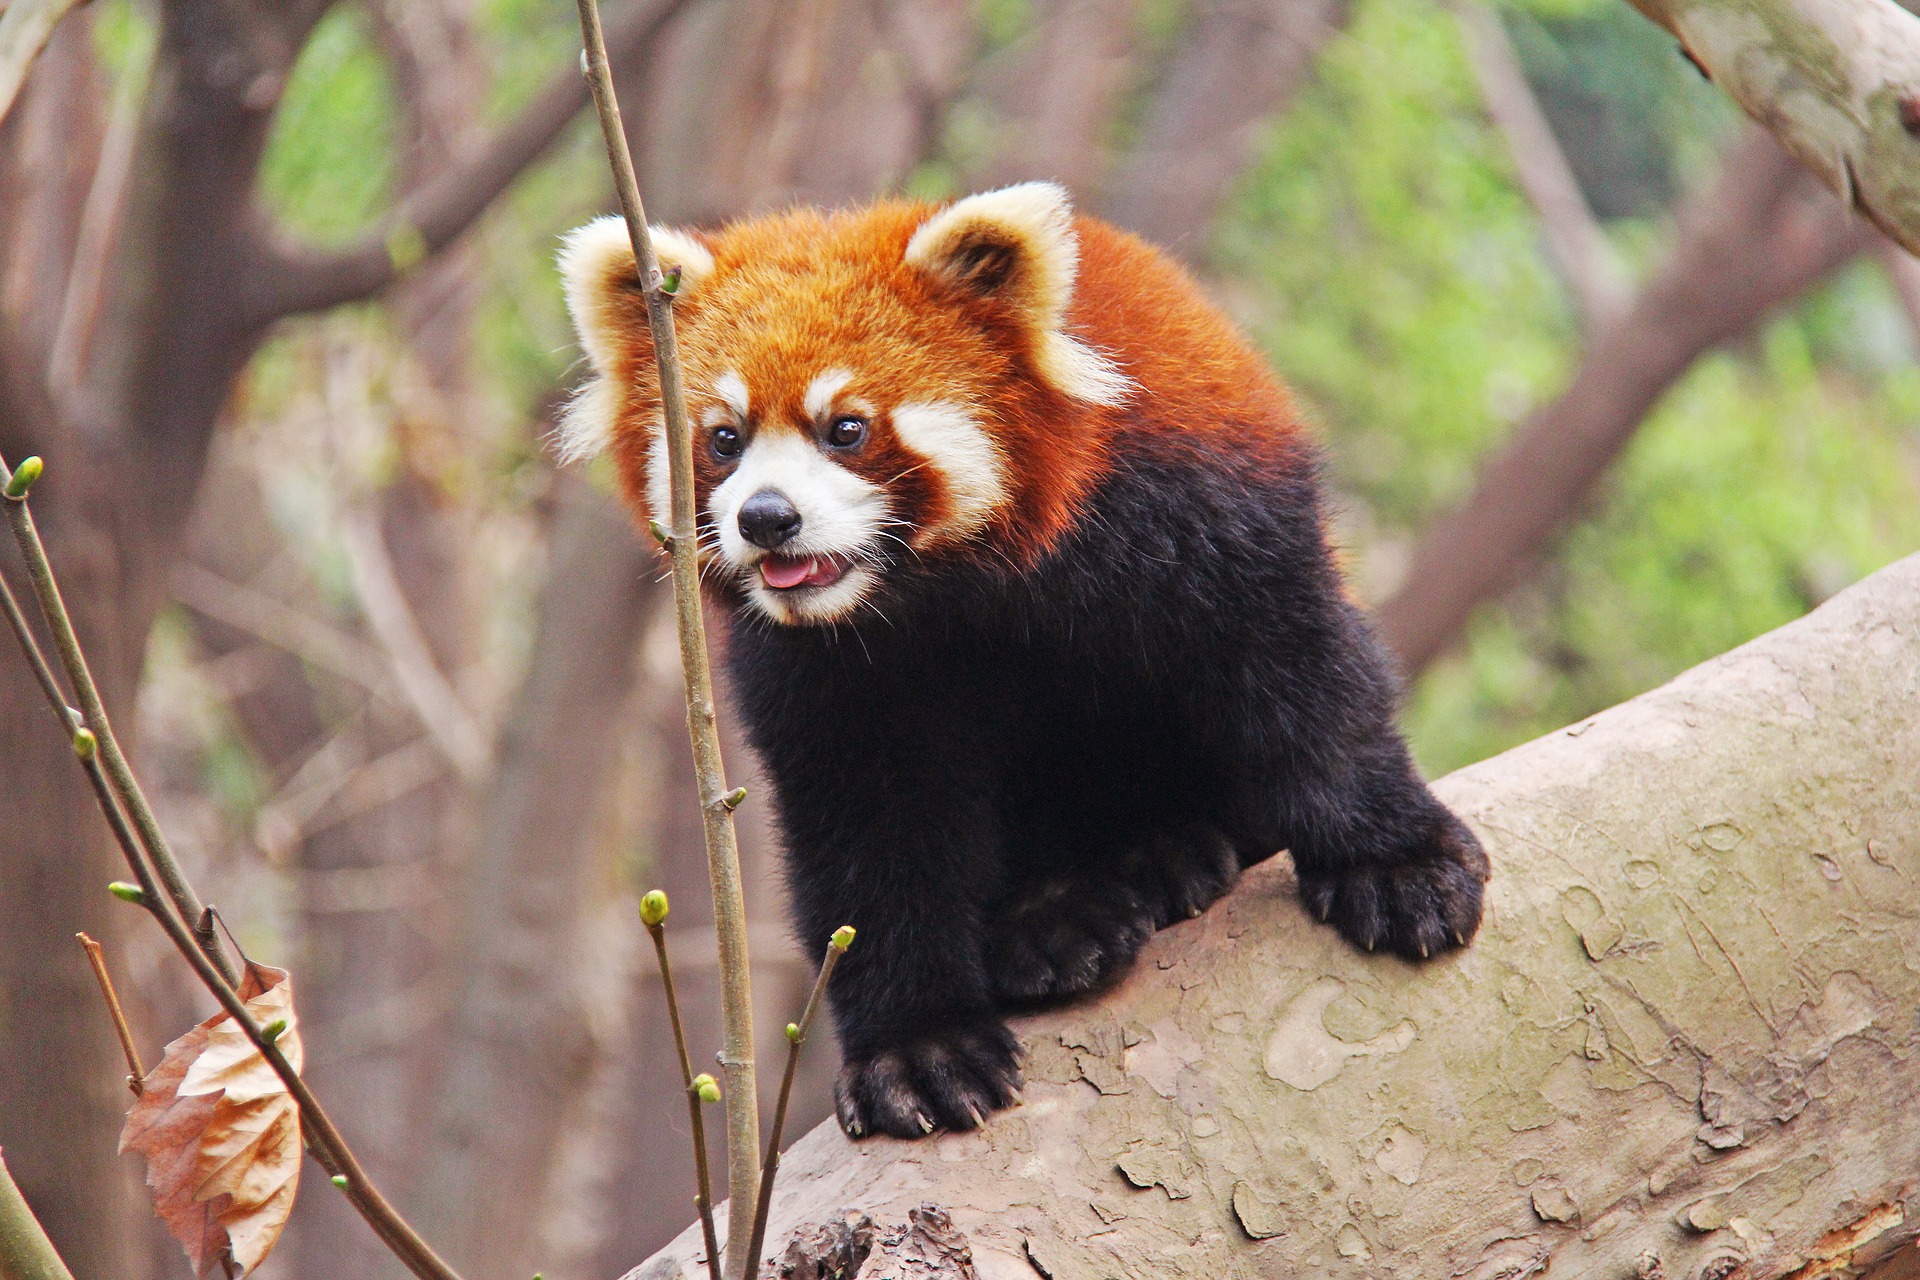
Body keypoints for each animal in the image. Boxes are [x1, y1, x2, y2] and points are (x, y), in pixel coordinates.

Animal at [556, 182, 1482, 1143]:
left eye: (846, 428)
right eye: (724, 440)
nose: (766, 518)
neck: (943, 587)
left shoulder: (1194, 500)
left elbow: (1300, 671)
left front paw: (1394, 863)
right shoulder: (825, 674)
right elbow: (870, 830)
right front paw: (917, 1046)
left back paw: (1161, 854)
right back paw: (1055, 922)